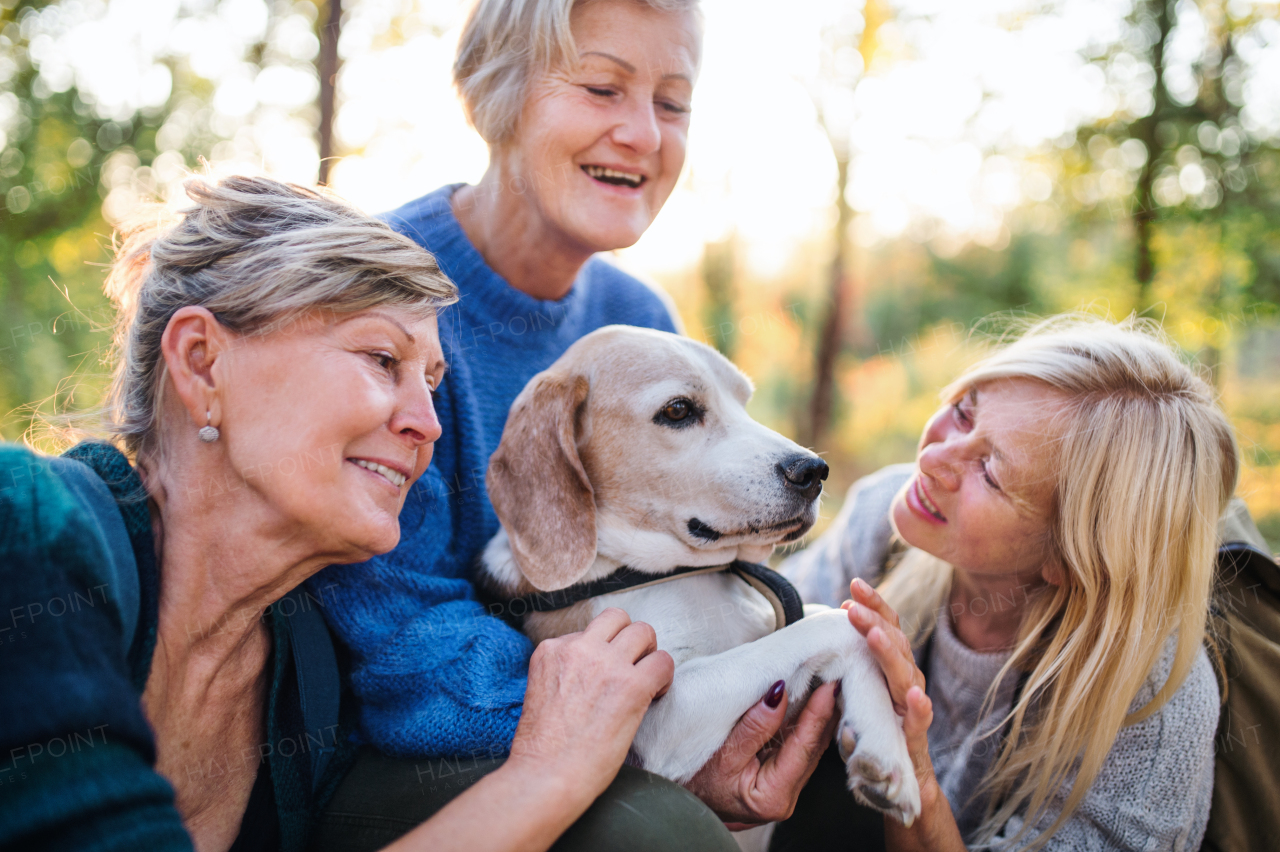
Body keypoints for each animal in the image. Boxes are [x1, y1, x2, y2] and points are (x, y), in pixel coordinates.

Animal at [481, 322, 921, 818]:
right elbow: (837, 623)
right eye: (678, 410)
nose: (813, 470)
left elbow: (845, 626)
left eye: (744, 401)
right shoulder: (664, 712)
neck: (680, 571)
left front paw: (885, 750)